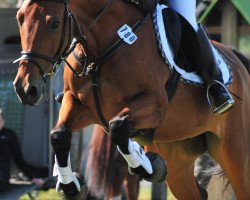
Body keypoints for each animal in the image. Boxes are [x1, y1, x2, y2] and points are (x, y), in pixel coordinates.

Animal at [13, 0, 250, 198]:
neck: (100, 50)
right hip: (178, 157)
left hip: (235, 154)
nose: (25, 88)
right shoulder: (79, 104)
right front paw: (71, 185)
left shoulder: (155, 106)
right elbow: (59, 135)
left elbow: (118, 126)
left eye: (54, 23)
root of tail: (239, 63)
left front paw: (148, 166)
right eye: (20, 18)